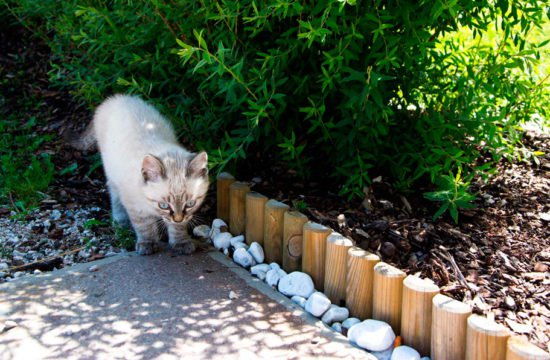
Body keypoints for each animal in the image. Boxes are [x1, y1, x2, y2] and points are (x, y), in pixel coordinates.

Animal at [76, 94, 208, 255]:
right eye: (164, 205)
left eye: (190, 204)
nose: (177, 218)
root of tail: (115, 99)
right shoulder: (135, 207)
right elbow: (145, 226)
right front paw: (147, 244)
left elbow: (178, 229)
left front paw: (181, 243)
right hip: (111, 172)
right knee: (114, 196)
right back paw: (120, 221)